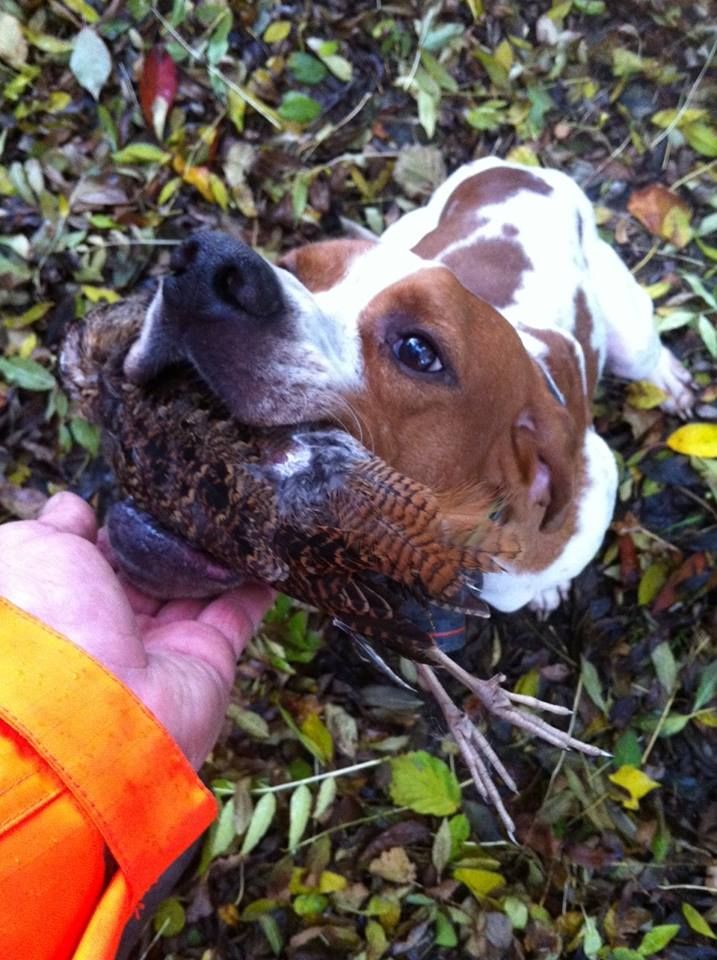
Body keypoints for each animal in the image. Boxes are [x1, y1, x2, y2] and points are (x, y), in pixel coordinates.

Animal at [124, 155, 692, 612]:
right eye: (292, 267)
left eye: (419, 351)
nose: (203, 265)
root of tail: (522, 170)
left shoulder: (591, 481)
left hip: (630, 330)